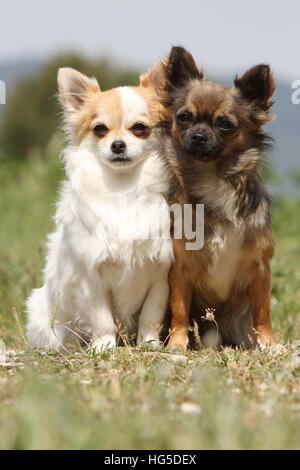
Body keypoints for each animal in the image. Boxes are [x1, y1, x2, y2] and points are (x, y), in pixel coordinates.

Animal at [27, 67, 175, 352]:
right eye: (100, 130)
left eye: (140, 128)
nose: (117, 144)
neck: (123, 189)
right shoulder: (90, 278)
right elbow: (101, 318)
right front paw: (103, 347)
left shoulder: (160, 274)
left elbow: (151, 315)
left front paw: (149, 344)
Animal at [157, 46, 276, 348]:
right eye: (184, 117)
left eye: (225, 124)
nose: (199, 135)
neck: (212, 178)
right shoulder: (180, 270)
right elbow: (179, 311)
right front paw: (177, 344)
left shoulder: (260, 269)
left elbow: (262, 312)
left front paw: (269, 344)